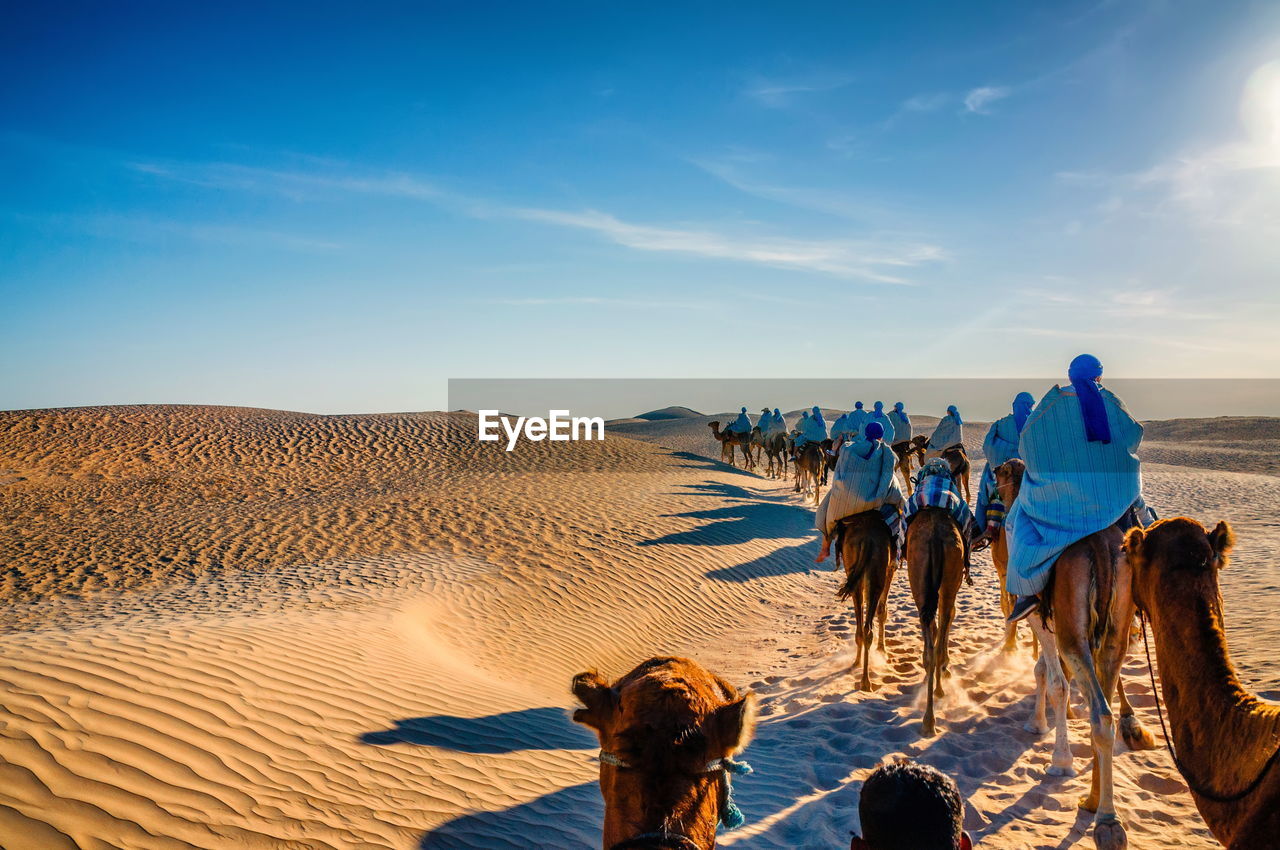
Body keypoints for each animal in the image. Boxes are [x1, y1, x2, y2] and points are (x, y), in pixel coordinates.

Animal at [834, 512, 896, 691]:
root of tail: (867, 540)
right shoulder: (890, 568)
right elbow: (882, 610)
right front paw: (882, 650)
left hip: (853, 570)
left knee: (861, 628)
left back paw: (856, 664)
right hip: (877, 574)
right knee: (868, 628)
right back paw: (866, 681)